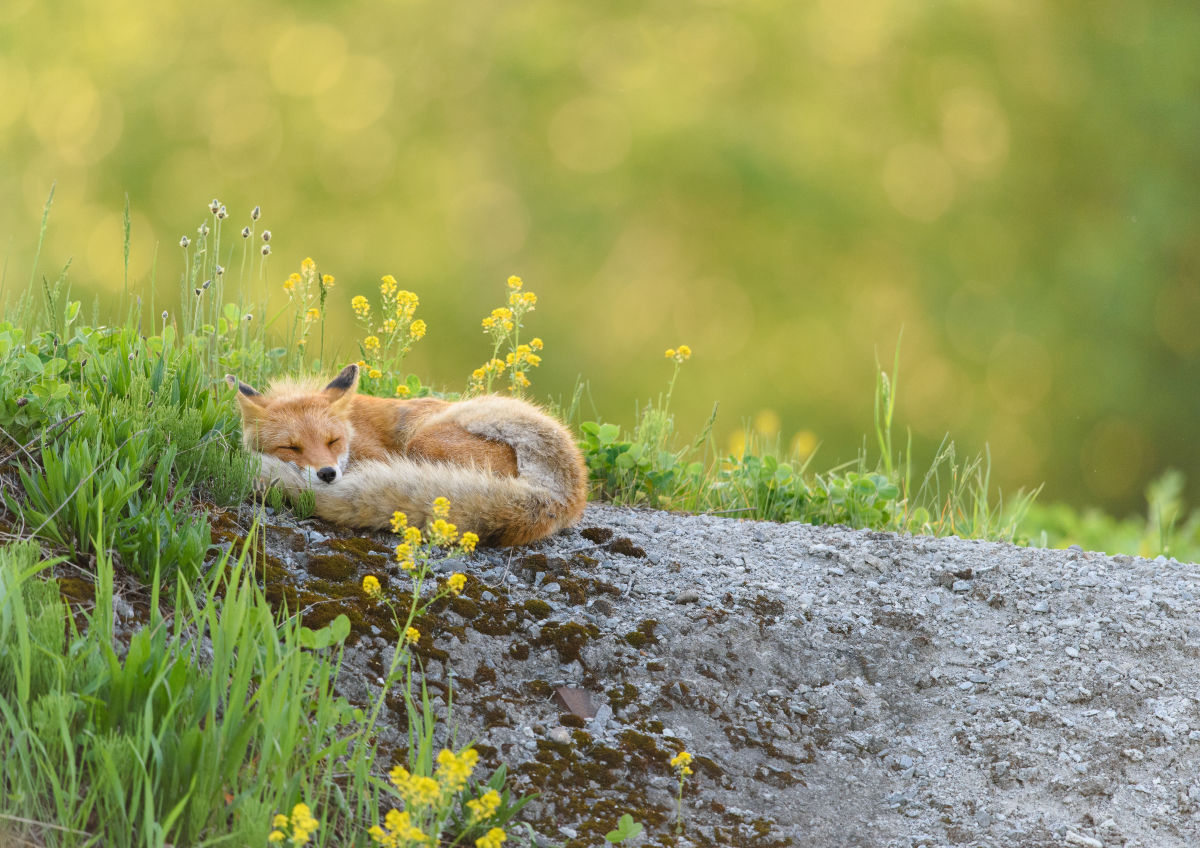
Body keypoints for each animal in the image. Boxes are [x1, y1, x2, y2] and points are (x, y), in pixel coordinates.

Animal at [226, 362, 588, 546]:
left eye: (332, 441)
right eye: (291, 447)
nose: (327, 474)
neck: (353, 427)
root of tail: (569, 491)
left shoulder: (377, 455)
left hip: (422, 442)